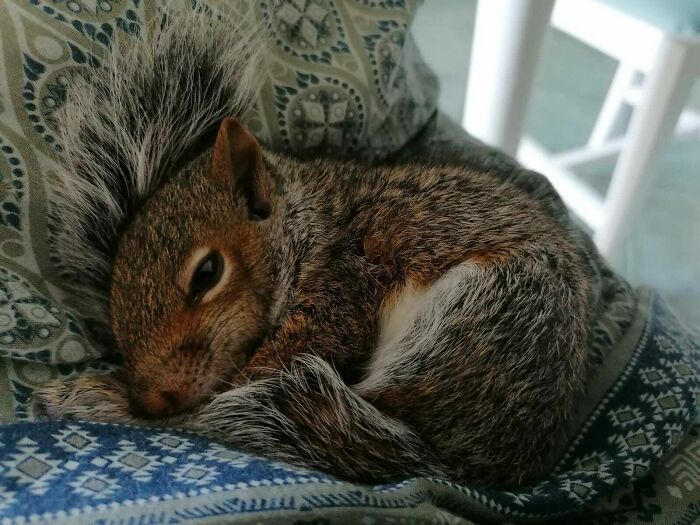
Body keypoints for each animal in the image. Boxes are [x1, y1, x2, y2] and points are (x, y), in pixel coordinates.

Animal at [35, 8, 596, 488]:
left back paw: (98, 398)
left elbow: (274, 362)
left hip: (483, 315)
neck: (305, 221)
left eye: (207, 272)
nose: (153, 398)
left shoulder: (341, 286)